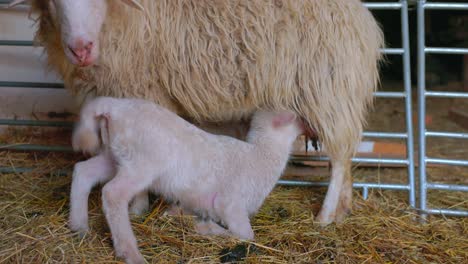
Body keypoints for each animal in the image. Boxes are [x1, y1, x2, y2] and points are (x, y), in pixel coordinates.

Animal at [10, 0, 384, 225]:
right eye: (53, 2)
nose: (81, 49)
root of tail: (363, 20)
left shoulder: (144, 91)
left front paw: (137, 207)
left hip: (328, 91)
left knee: (339, 158)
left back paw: (325, 215)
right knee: (347, 155)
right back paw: (344, 207)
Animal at [69, 96, 304, 262]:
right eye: (298, 118)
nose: (308, 126)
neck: (261, 155)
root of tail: (115, 106)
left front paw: (175, 214)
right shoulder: (230, 203)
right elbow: (246, 235)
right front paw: (205, 229)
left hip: (115, 155)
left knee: (83, 171)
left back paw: (79, 227)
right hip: (141, 162)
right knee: (113, 193)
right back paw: (130, 252)